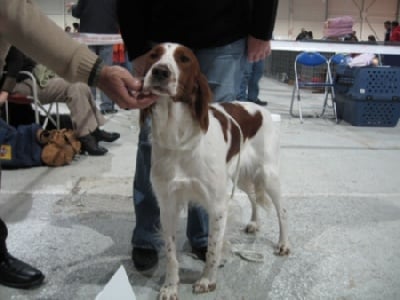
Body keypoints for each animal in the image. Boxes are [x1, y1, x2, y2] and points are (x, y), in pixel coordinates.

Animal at [139, 43, 290, 298]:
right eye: (153, 55)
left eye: (184, 59)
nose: (160, 71)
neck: (178, 139)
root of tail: (258, 108)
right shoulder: (168, 204)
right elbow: (170, 253)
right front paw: (170, 286)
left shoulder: (217, 205)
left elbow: (212, 248)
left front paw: (207, 280)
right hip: (241, 177)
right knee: (253, 197)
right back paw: (254, 223)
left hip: (268, 175)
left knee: (283, 211)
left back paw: (284, 243)